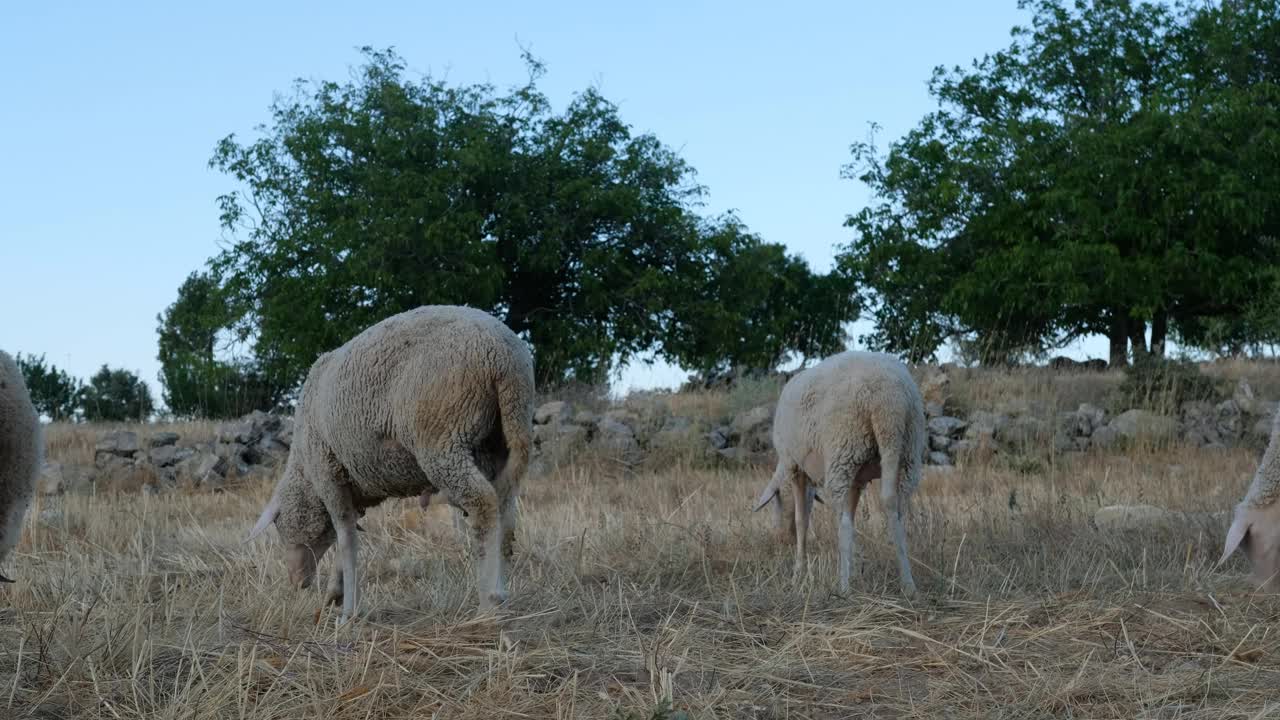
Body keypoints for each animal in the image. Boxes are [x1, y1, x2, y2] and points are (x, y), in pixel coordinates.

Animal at [249, 304, 535, 620]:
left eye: (279, 527)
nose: (297, 582)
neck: (303, 471)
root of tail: (505, 357)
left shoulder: (328, 473)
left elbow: (346, 538)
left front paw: (348, 611)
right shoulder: (352, 491)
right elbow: (348, 532)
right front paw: (336, 592)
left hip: (442, 436)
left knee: (483, 503)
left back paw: (488, 602)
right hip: (501, 438)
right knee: (505, 508)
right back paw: (502, 593)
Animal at [747, 351, 921, 591]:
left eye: (776, 502)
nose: (781, 539)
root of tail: (887, 400)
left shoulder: (795, 467)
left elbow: (802, 520)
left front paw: (798, 573)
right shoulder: (857, 480)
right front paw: (856, 567)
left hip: (843, 450)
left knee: (844, 523)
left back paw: (844, 586)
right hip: (906, 453)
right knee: (896, 509)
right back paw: (908, 583)